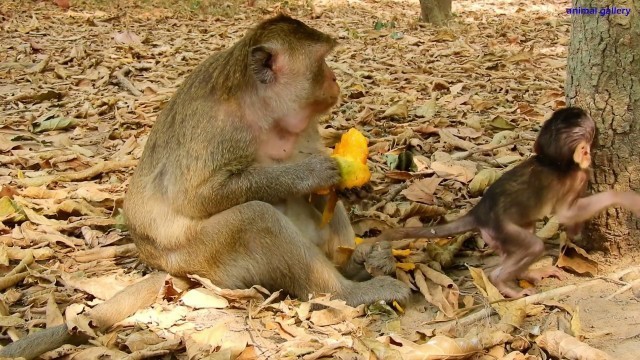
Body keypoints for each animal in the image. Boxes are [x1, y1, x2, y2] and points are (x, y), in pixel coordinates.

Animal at [122, 14, 408, 306]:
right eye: (321, 60)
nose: (334, 78)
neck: (262, 110)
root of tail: (168, 267)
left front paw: (353, 189)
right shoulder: (218, 127)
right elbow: (194, 198)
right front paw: (312, 173)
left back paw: (353, 264)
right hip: (201, 259)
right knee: (255, 218)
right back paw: (348, 292)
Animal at [378, 107, 640, 298]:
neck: (552, 161)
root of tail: (479, 212)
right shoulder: (578, 176)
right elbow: (566, 213)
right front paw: (622, 198)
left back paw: (530, 274)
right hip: (502, 229)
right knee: (532, 246)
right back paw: (503, 283)